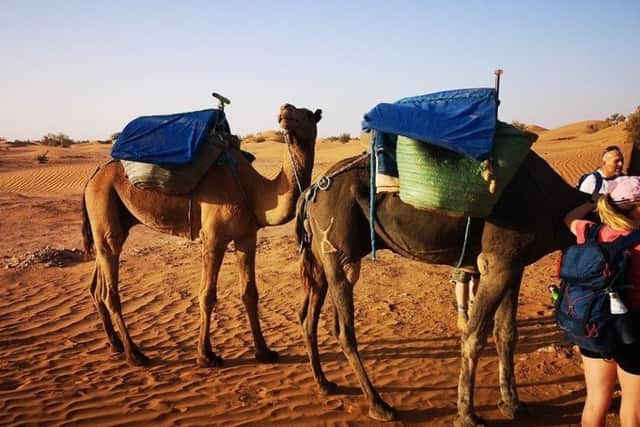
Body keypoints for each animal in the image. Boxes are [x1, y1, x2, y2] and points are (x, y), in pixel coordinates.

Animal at [81, 103, 322, 367]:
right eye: (296, 110)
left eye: (307, 114)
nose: (285, 109)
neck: (253, 190)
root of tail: (93, 175)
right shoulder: (213, 238)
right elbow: (207, 295)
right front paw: (206, 355)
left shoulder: (247, 237)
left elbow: (250, 293)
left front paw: (264, 352)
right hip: (103, 199)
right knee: (110, 288)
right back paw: (134, 354)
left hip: (113, 219)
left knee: (98, 281)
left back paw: (115, 344)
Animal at [296, 139, 637, 426]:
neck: (552, 203)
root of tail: (311, 190)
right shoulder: (499, 261)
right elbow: (474, 335)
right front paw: (467, 415)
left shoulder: (514, 264)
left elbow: (506, 333)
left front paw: (513, 404)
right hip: (337, 248)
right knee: (343, 328)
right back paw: (379, 405)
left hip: (322, 256)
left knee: (309, 315)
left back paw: (325, 384)